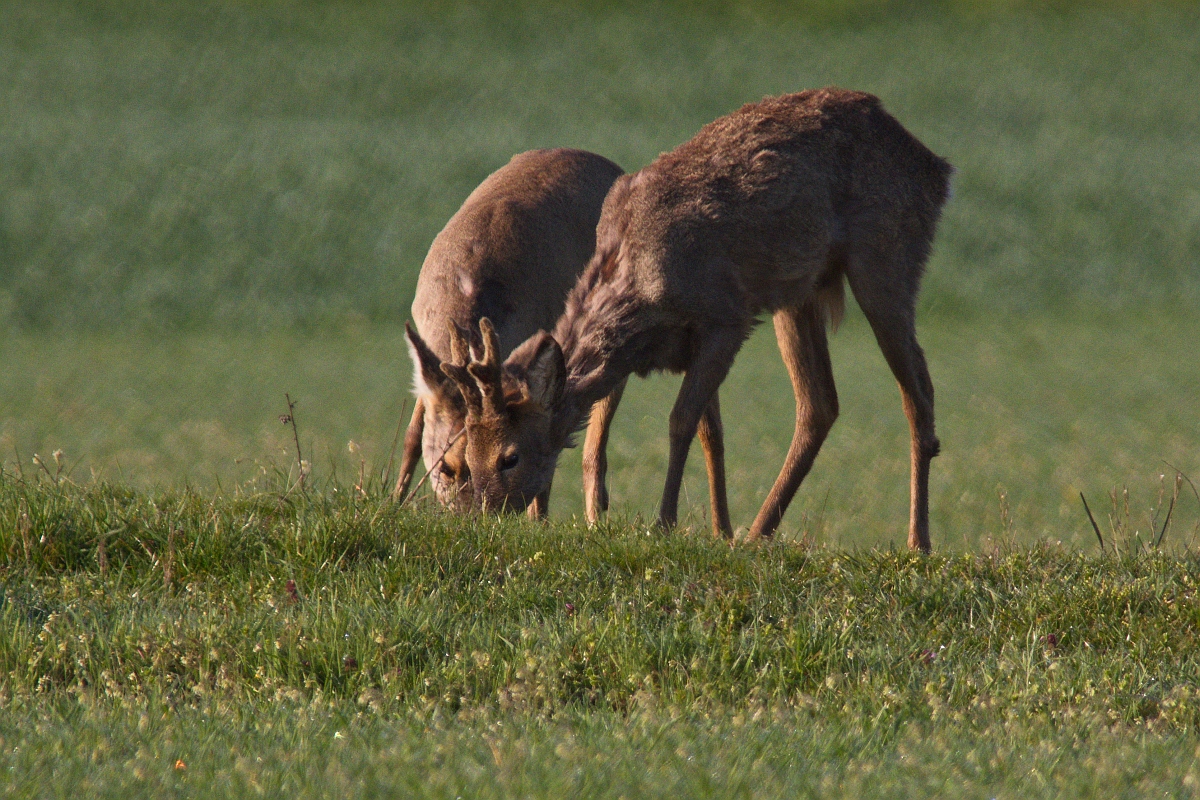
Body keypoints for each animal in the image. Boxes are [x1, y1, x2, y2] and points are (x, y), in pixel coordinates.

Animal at [398, 148, 633, 520]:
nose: (471, 519)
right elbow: (412, 436)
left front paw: (540, 522)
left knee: (594, 450)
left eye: (507, 460)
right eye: (446, 467)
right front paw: (389, 500)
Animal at [436, 87, 950, 551]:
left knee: (917, 391)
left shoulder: (726, 317)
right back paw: (758, 532)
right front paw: (721, 530)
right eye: (464, 457)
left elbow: (680, 421)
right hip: (798, 290)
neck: (635, 291)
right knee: (819, 403)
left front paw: (665, 522)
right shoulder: (686, 344)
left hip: (887, 253)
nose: (484, 517)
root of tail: (936, 166)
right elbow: (711, 434)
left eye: (509, 457)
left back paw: (918, 542)